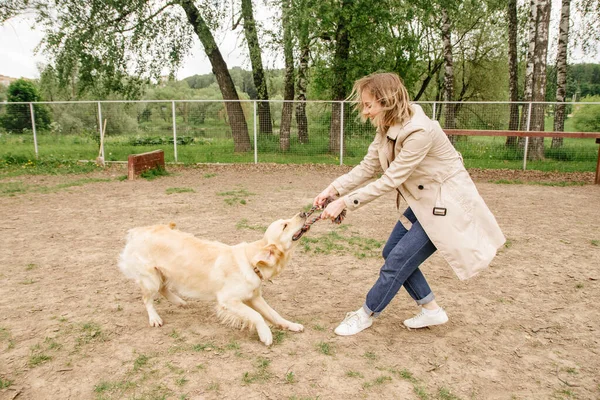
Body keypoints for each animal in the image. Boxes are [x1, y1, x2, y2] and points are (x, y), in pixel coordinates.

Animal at [119, 212, 310, 346]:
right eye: (285, 225)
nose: (303, 213)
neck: (251, 261)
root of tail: (136, 231)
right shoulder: (228, 300)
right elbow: (256, 315)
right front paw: (265, 334)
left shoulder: (254, 297)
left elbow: (273, 314)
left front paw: (290, 325)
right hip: (150, 278)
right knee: (147, 298)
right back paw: (155, 318)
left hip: (164, 273)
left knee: (163, 288)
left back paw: (180, 302)